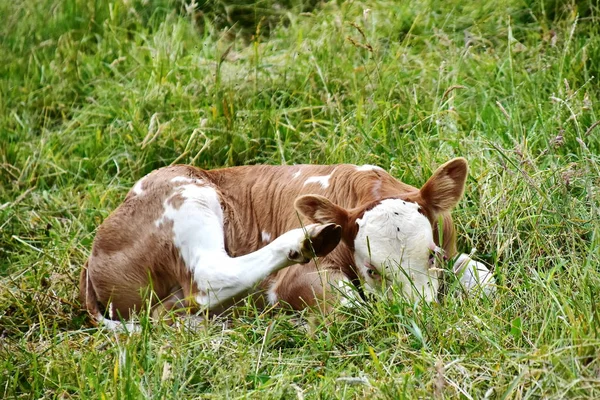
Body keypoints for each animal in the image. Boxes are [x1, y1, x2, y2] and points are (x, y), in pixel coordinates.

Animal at [78, 158, 492, 326]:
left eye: (432, 256)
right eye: (372, 269)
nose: (419, 314)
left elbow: (480, 274)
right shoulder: (293, 281)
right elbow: (350, 306)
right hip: (187, 199)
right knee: (209, 277)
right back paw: (304, 239)